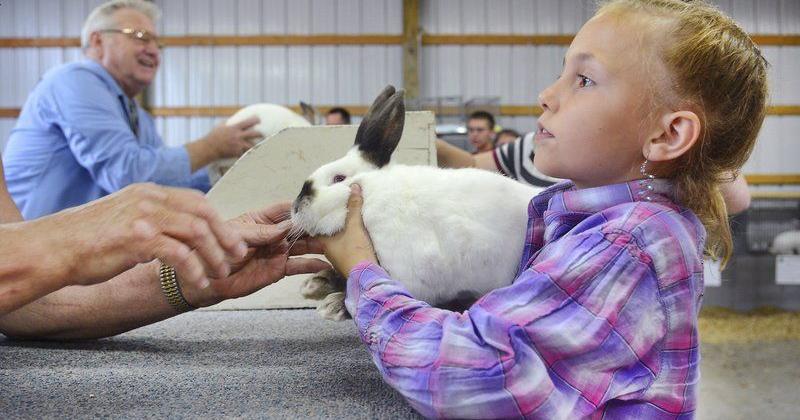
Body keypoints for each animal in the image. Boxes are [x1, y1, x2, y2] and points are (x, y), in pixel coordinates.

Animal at [290, 86, 544, 321]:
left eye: (338, 179)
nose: (295, 207)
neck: (372, 193)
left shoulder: (405, 274)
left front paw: (332, 305)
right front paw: (314, 285)